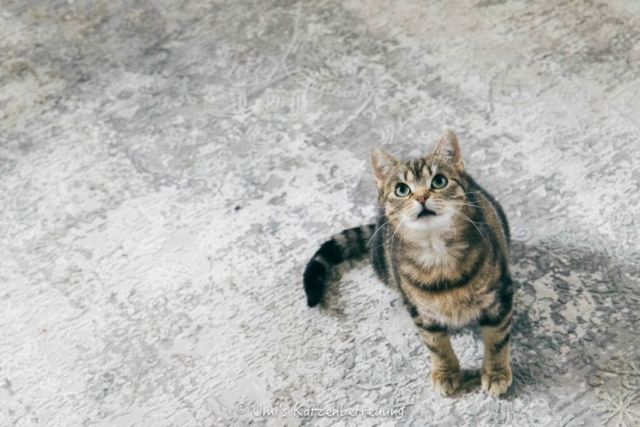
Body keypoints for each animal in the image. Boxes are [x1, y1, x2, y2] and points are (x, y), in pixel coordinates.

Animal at [302, 132, 516, 400]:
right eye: (402, 190)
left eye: (439, 181)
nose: (422, 196)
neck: (437, 254)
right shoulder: (419, 310)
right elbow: (436, 345)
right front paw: (445, 372)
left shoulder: (501, 295)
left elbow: (497, 339)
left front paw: (496, 373)